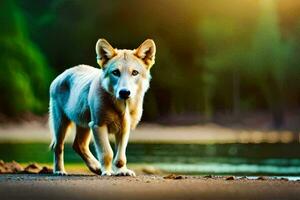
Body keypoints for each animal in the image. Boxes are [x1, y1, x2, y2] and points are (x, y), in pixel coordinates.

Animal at [48, 38, 156, 176]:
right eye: (115, 72)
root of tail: (61, 75)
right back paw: (59, 170)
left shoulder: (124, 128)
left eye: (135, 73)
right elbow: (107, 152)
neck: (122, 107)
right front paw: (107, 172)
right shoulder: (98, 125)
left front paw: (122, 171)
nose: (124, 92)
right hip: (61, 121)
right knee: (58, 146)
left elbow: (121, 156)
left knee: (79, 145)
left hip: (84, 123)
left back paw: (96, 167)